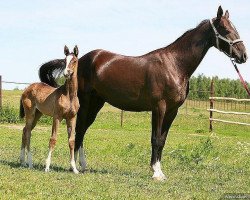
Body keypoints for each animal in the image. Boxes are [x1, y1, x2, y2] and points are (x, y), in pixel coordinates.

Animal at [19, 45, 79, 173]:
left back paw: (22, 161)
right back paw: (29, 163)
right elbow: (53, 139)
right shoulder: (57, 117)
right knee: (28, 133)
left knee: (25, 130)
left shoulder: (71, 118)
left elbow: (71, 141)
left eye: (74, 61)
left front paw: (74, 169)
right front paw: (47, 167)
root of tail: (26, 89)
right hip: (30, 113)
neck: (69, 95)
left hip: (38, 114)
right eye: (64, 60)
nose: (66, 73)